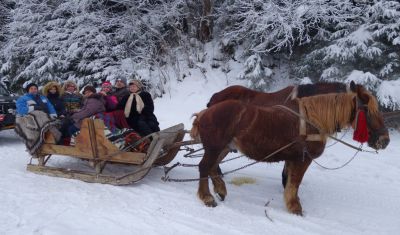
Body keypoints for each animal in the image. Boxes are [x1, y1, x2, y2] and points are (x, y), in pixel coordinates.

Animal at [192, 81, 390, 216]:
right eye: (367, 110)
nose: (385, 140)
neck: (311, 119)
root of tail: (205, 112)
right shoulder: (303, 158)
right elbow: (294, 183)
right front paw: (295, 207)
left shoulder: (292, 158)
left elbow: (289, 181)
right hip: (215, 147)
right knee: (204, 167)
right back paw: (207, 197)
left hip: (223, 147)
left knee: (211, 167)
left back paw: (220, 189)